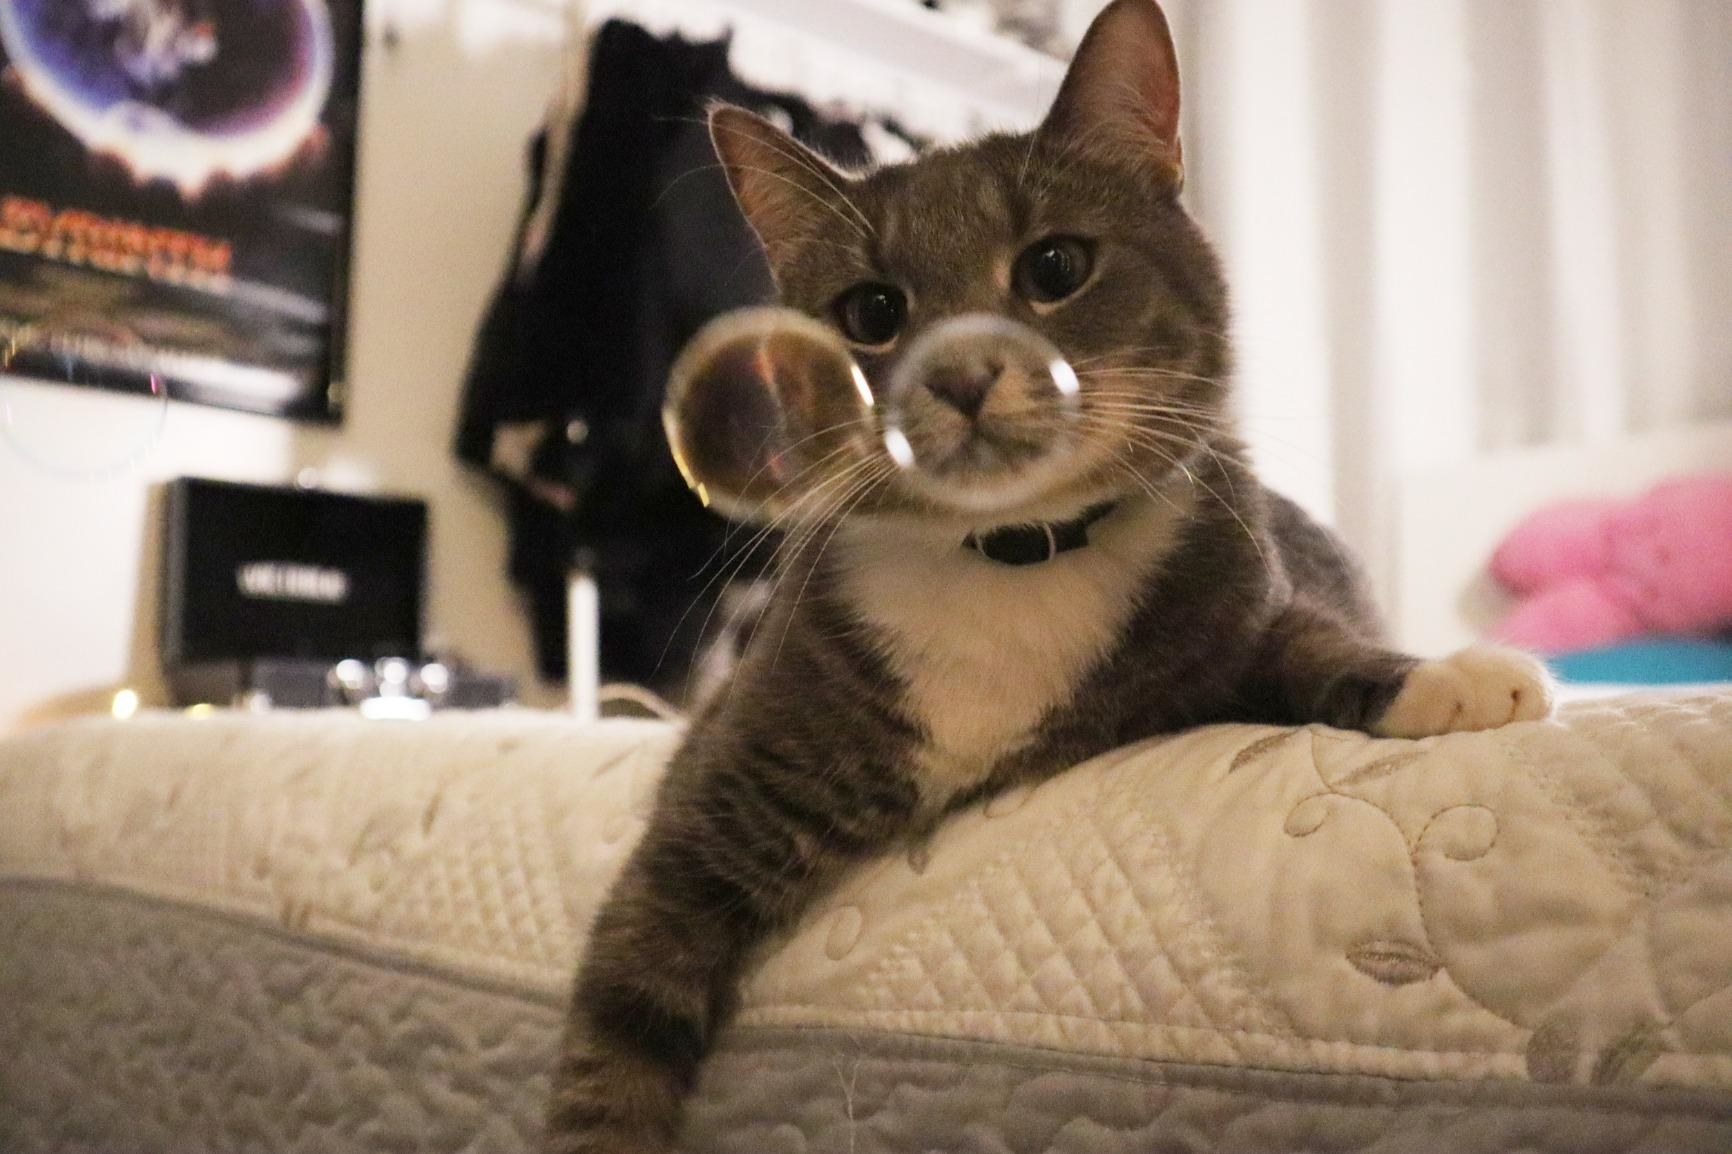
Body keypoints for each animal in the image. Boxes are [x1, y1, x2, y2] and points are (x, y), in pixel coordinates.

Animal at [547, 4, 1551, 1143]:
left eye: (1055, 265)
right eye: (871, 312)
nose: (960, 374)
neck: (1011, 555)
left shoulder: (1244, 605)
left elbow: (1315, 644)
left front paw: (1451, 677)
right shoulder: (717, 792)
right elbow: (618, 1027)